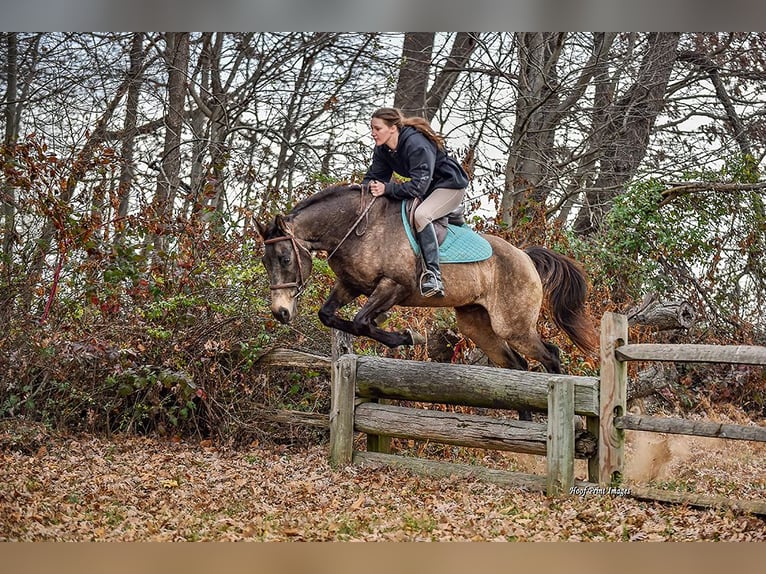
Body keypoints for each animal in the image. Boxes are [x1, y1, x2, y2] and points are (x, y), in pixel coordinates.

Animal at [258, 184, 600, 380]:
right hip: (477, 325)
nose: (280, 313)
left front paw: (407, 337)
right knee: (517, 365)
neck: (358, 228)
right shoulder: (352, 285)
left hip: (513, 326)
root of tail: (525, 256)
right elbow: (329, 316)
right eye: (264, 262)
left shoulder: (393, 287)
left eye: (285, 259)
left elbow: (360, 322)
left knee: (550, 356)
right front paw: (401, 335)